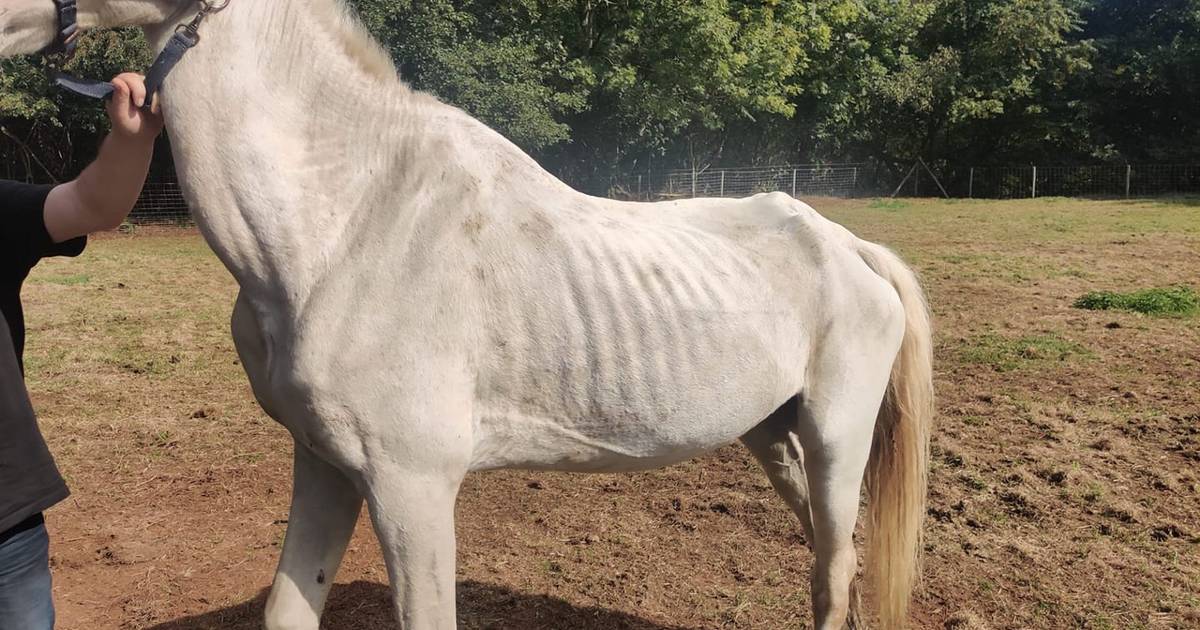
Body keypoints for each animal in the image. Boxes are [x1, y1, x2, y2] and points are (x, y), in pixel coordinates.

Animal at [2, 2, 936, 624]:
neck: (346, 222)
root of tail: (851, 247)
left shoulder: (412, 486)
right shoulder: (326, 466)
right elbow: (288, 607)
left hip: (835, 441)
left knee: (833, 569)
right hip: (774, 438)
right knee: (832, 560)